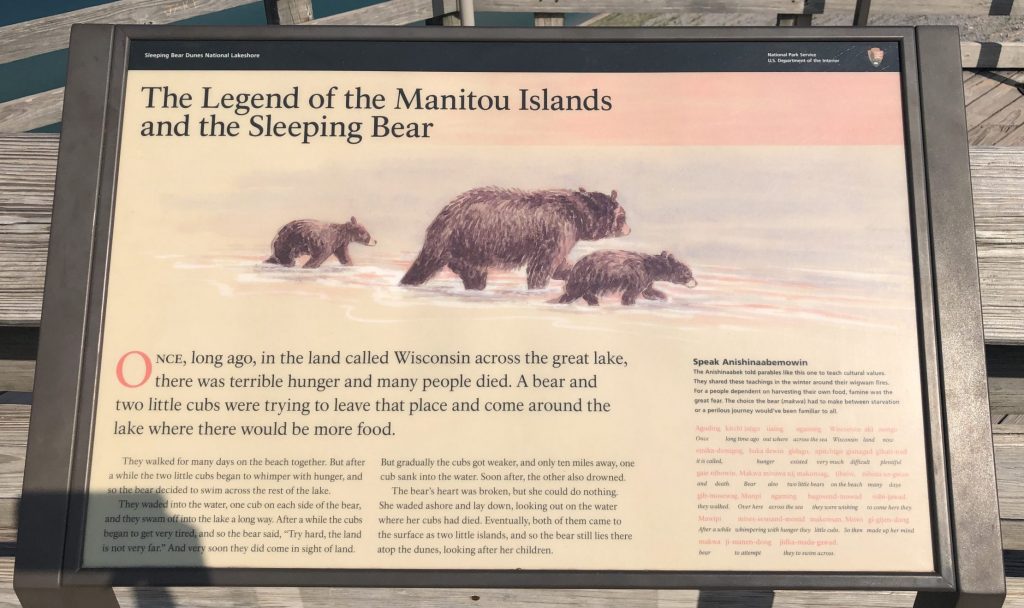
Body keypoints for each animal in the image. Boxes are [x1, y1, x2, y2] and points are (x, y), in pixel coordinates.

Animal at [401, 184, 630, 288]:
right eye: (623, 216)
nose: (629, 229)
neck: (579, 215)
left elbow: (560, 265)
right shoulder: (558, 230)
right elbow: (542, 266)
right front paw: (537, 286)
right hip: (471, 241)